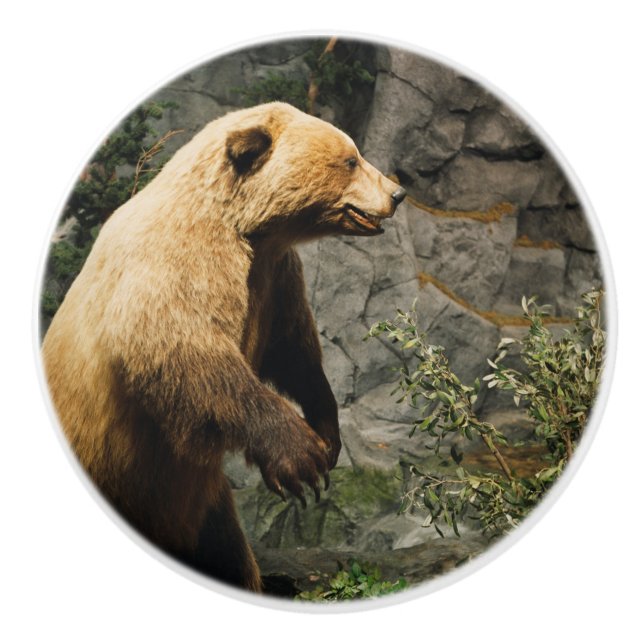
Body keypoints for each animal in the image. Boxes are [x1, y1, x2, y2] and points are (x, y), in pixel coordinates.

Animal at [42, 101, 406, 592]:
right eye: (351, 159)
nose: (397, 192)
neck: (247, 227)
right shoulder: (178, 262)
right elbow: (186, 352)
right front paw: (301, 457)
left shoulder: (274, 277)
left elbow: (292, 350)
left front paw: (327, 433)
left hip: (201, 505)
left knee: (226, 554)